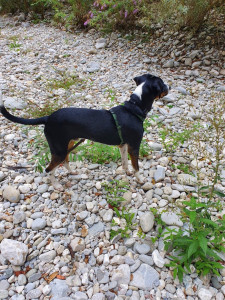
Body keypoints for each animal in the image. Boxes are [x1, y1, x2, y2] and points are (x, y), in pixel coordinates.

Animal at [0, 73, 169, 189]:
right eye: (162, 84)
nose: (170, 87)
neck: (134, 107)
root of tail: (48, 118)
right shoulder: (134, 146)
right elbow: (136, 166)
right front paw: (140, 180)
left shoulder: (123, 145)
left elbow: (125, 162)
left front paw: (126, 173)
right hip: (59, 149)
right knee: (49, 169)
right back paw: (56, 185)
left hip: (68, 144)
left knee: (65, 160)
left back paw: (72, 172)